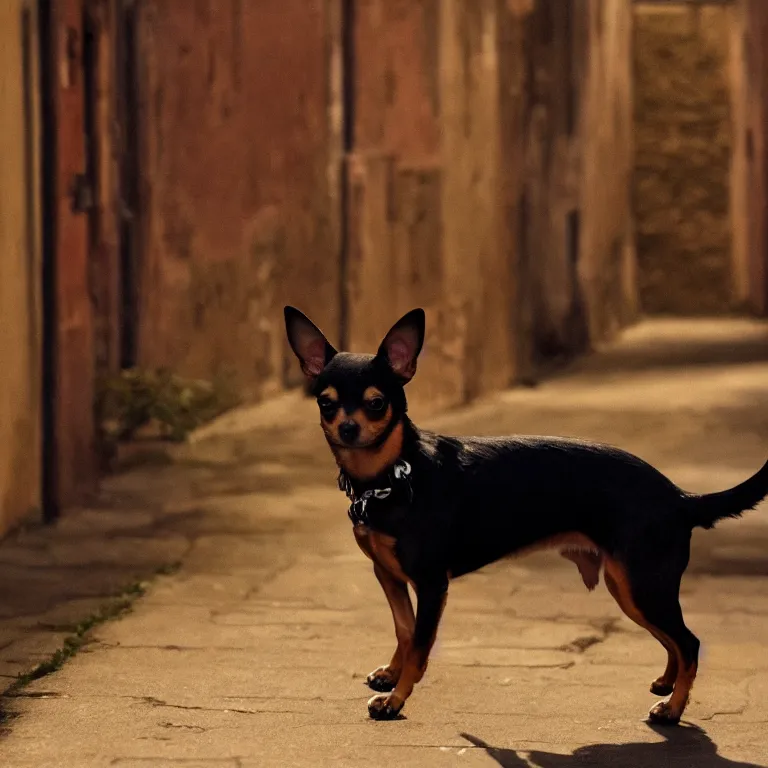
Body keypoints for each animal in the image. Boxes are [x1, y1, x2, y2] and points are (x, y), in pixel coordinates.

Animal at [284, 304, 768, 720]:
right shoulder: (389, 575)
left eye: (376, 403)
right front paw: (391, 674)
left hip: (642, 585)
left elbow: (421, 648)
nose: (348, 428)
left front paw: (397, 699)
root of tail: (679, 497)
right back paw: (667, 685)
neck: (394, 475)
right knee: (673, 640)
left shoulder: (431, 584)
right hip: (630, 585)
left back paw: (673, 709)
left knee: (689, 641)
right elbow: (404, 631)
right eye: (326, 403)